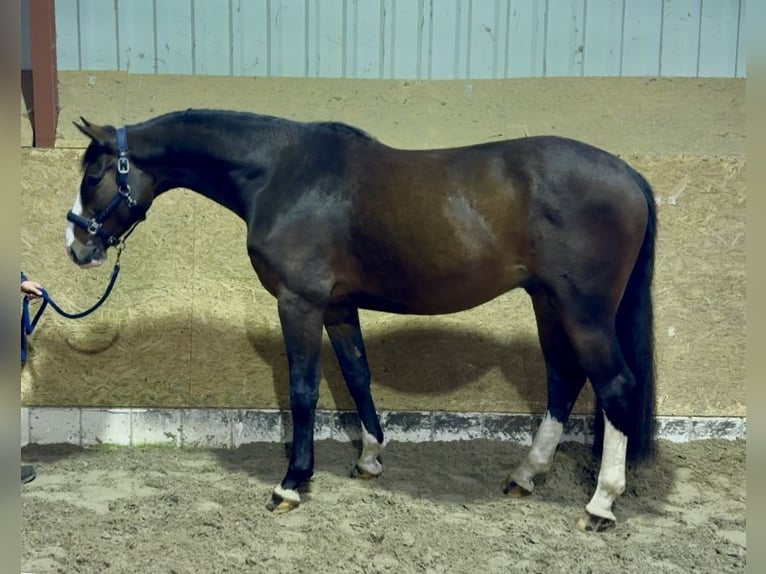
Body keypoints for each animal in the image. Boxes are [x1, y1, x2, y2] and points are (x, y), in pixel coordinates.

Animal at [65, 109, 656, 532]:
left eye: (94, 175)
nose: (76, 247)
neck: (283, 174)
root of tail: (628, 173)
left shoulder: (299, 303)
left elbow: (304, 391)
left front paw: (291, 483)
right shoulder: (338, 306)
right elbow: (356, 377)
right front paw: (369, 459)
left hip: (582, 311)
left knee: (614, 386)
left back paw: (600, 505)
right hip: (548, 302)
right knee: (564, 379)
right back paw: (524, 476)